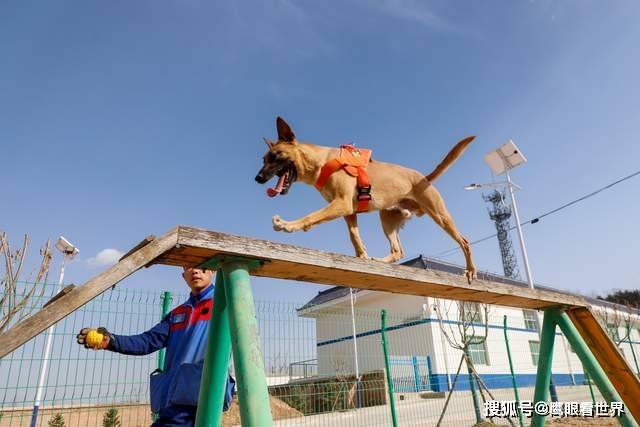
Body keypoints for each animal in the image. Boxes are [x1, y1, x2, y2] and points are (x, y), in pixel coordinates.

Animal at [255, 118, 476, 284]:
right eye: (264, 159)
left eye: (276, 155)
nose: (258, 178)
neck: (321, 162)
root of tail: (424, 178)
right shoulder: (349, 212)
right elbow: (355, 237)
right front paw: (362, 257)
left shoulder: (341, 204)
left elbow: (311, 216)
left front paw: (288, 225)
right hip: (387, 219)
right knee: (398, 251)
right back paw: (381, 261)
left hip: (439, 215)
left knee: (464, 241)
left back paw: (470, 270)